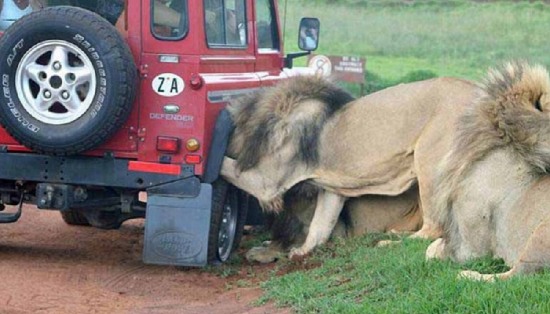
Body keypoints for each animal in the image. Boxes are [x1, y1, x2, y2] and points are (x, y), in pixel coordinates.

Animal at [222, 75, 480, 258]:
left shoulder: (268, 182)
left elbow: (227, 166)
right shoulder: (332, 189)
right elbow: (320, 224)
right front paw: (303, 251)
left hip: (428, 161)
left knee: (434, 229)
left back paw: (389, 241)